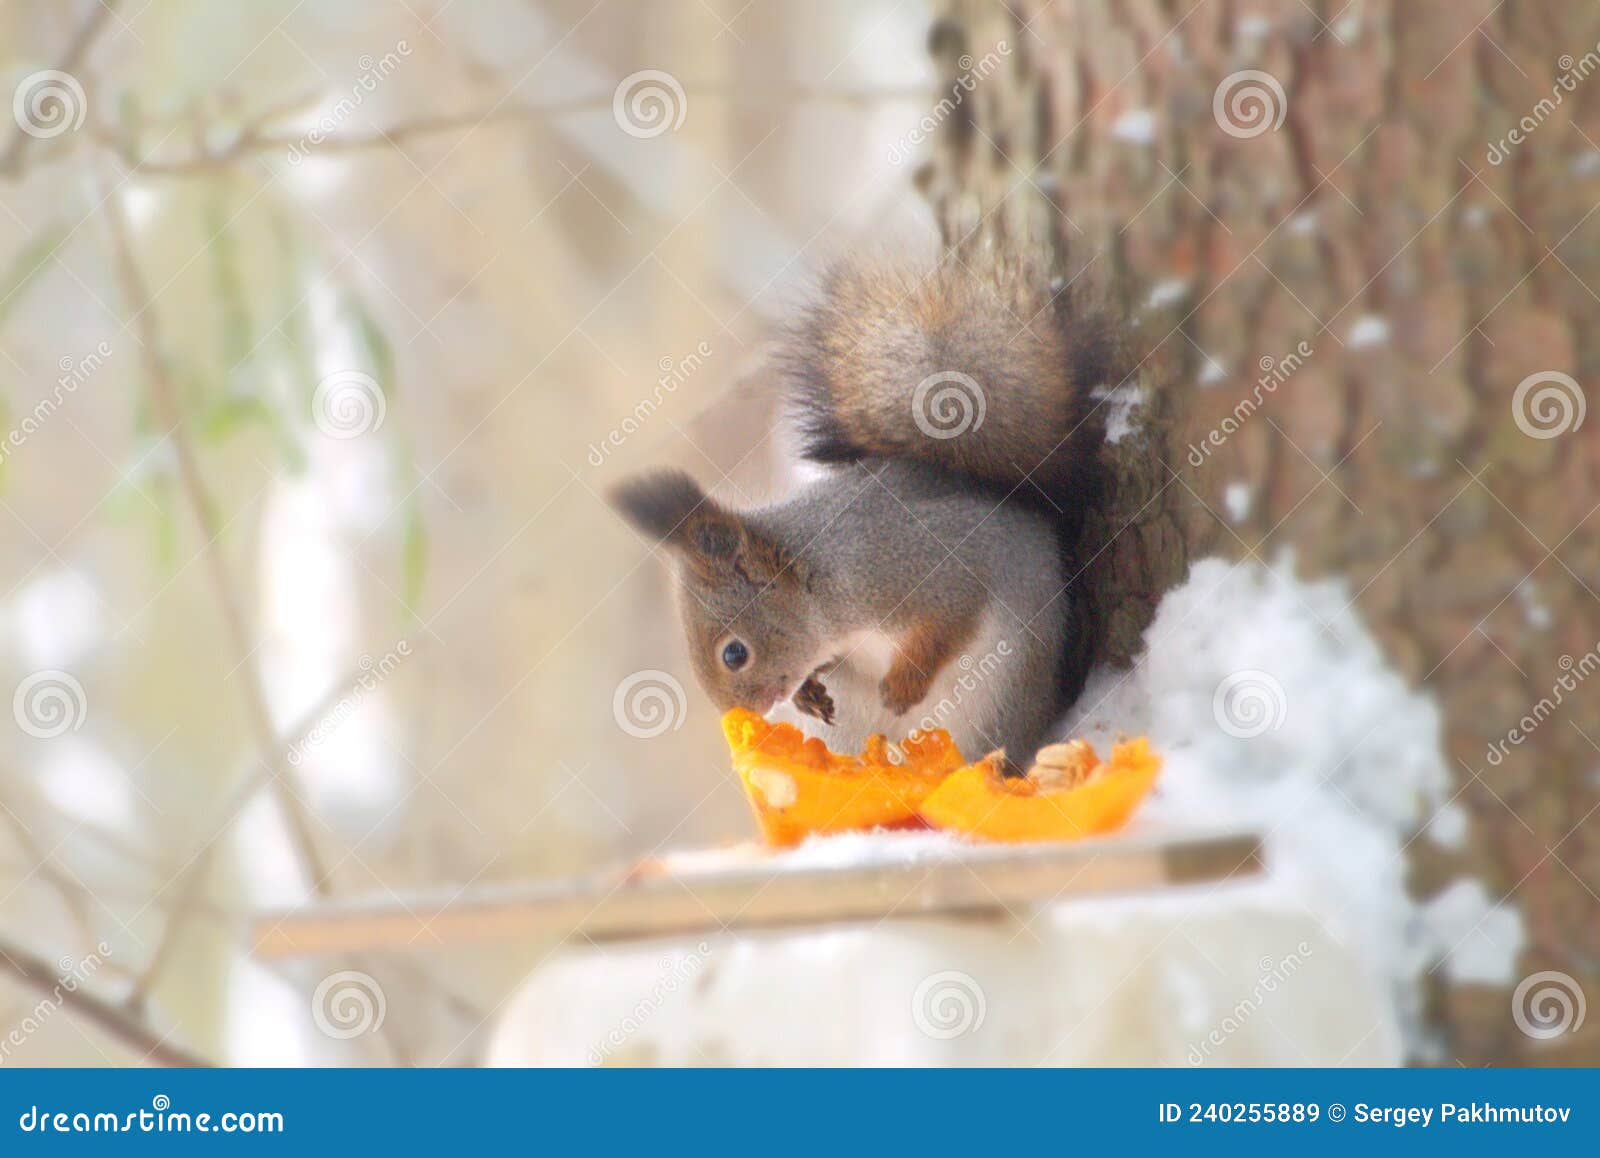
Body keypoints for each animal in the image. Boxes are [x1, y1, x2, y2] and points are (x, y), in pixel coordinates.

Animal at [610, 253, 1126, 769]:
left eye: (734, 654)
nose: (745, 711)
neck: (817, 579)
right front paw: (808, 693)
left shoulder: (904, 563)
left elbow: (952, 616)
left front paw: (904, 685)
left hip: (998, 704)